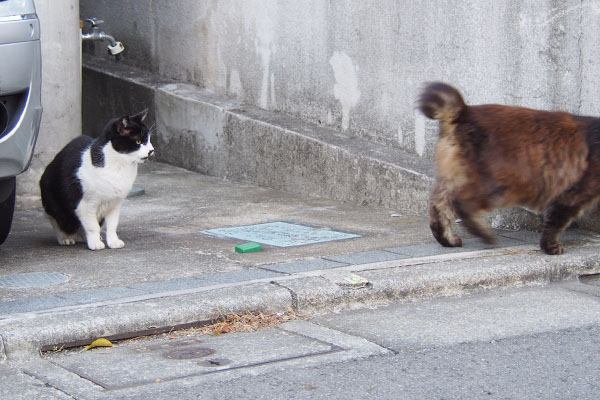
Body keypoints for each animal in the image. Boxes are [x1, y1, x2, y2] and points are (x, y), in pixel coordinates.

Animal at [39, 109, 154, 250]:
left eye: (149, 140)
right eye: (138, 142)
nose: (151, 150)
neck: (120, 166)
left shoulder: (115, 203)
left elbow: (112, 225)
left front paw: (113, 241)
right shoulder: (85, 204)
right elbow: (92, 226)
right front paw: (94, 243)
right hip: (54, 204)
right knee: (58, 220)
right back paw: (66, 238)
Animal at [420, 82, 596, 255]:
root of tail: (465, 111)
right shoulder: (573, 194)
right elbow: (555, 223)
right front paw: (550, 247)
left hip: (456, 178)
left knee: (439, 206)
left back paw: (449, 240)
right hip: (498, 186)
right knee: (461, 203)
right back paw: (486, 236)